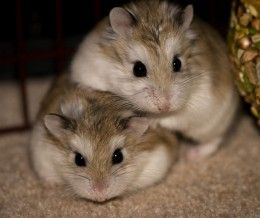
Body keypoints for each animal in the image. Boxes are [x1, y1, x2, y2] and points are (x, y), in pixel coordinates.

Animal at [70, 0, 239, 158]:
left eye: (177, 63)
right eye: (138, 69)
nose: (165, 106)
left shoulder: (196, 107)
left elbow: (172, 118)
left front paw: (150, 120)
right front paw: (86, 89)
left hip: (213, 123)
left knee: (215, 139)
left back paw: (191, 154)